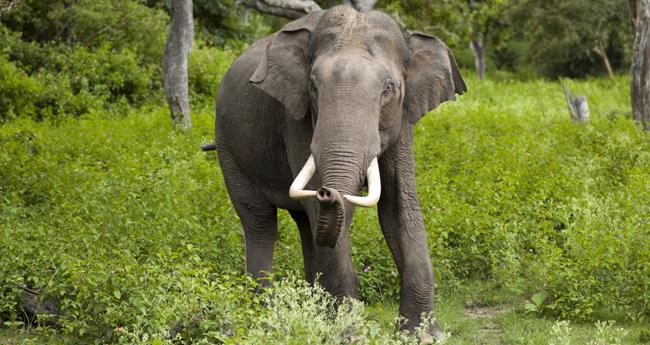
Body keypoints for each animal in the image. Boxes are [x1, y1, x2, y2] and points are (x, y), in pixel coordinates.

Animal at [205, 4, 464, 338]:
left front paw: (423, 336)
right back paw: (265, 317)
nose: (328, 192)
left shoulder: (403, 119)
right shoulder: (296, 117)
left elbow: (398, 207)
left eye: (388, 89)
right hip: (228, 148)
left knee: (305, 224)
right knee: (260, 222)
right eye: (314, 87)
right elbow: (330, 213)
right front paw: (347, 334)